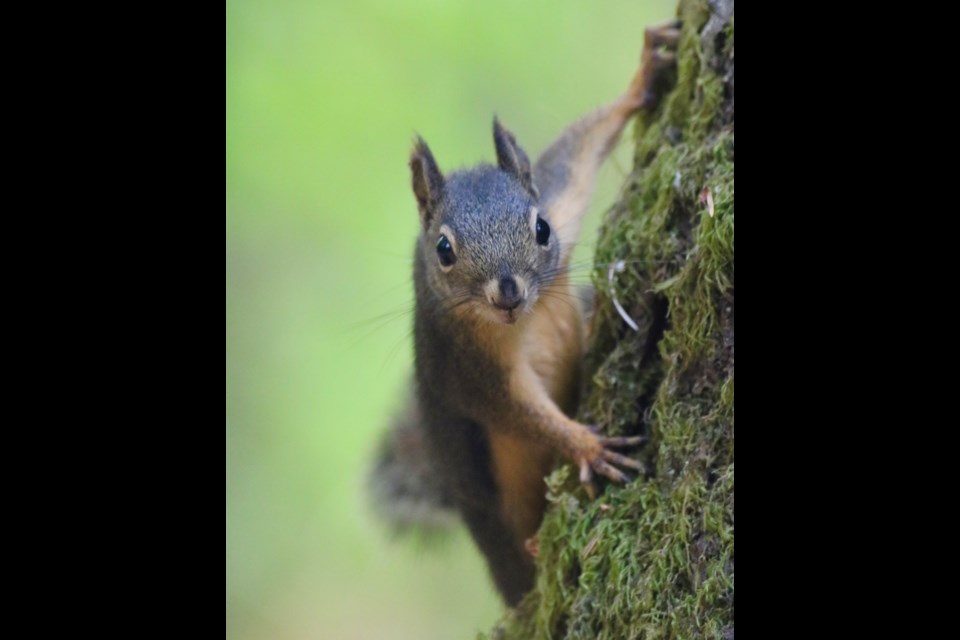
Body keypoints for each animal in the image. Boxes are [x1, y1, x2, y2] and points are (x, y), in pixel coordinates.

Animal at [370, 23, 684, 604]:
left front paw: (645, 71)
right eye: (443, 250)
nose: (508, 293)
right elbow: (518, 411)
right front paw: (586, 445)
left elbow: (578, 151)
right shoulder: (465, 365)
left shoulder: (559, 197)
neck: (525, 322)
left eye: (541, 228)